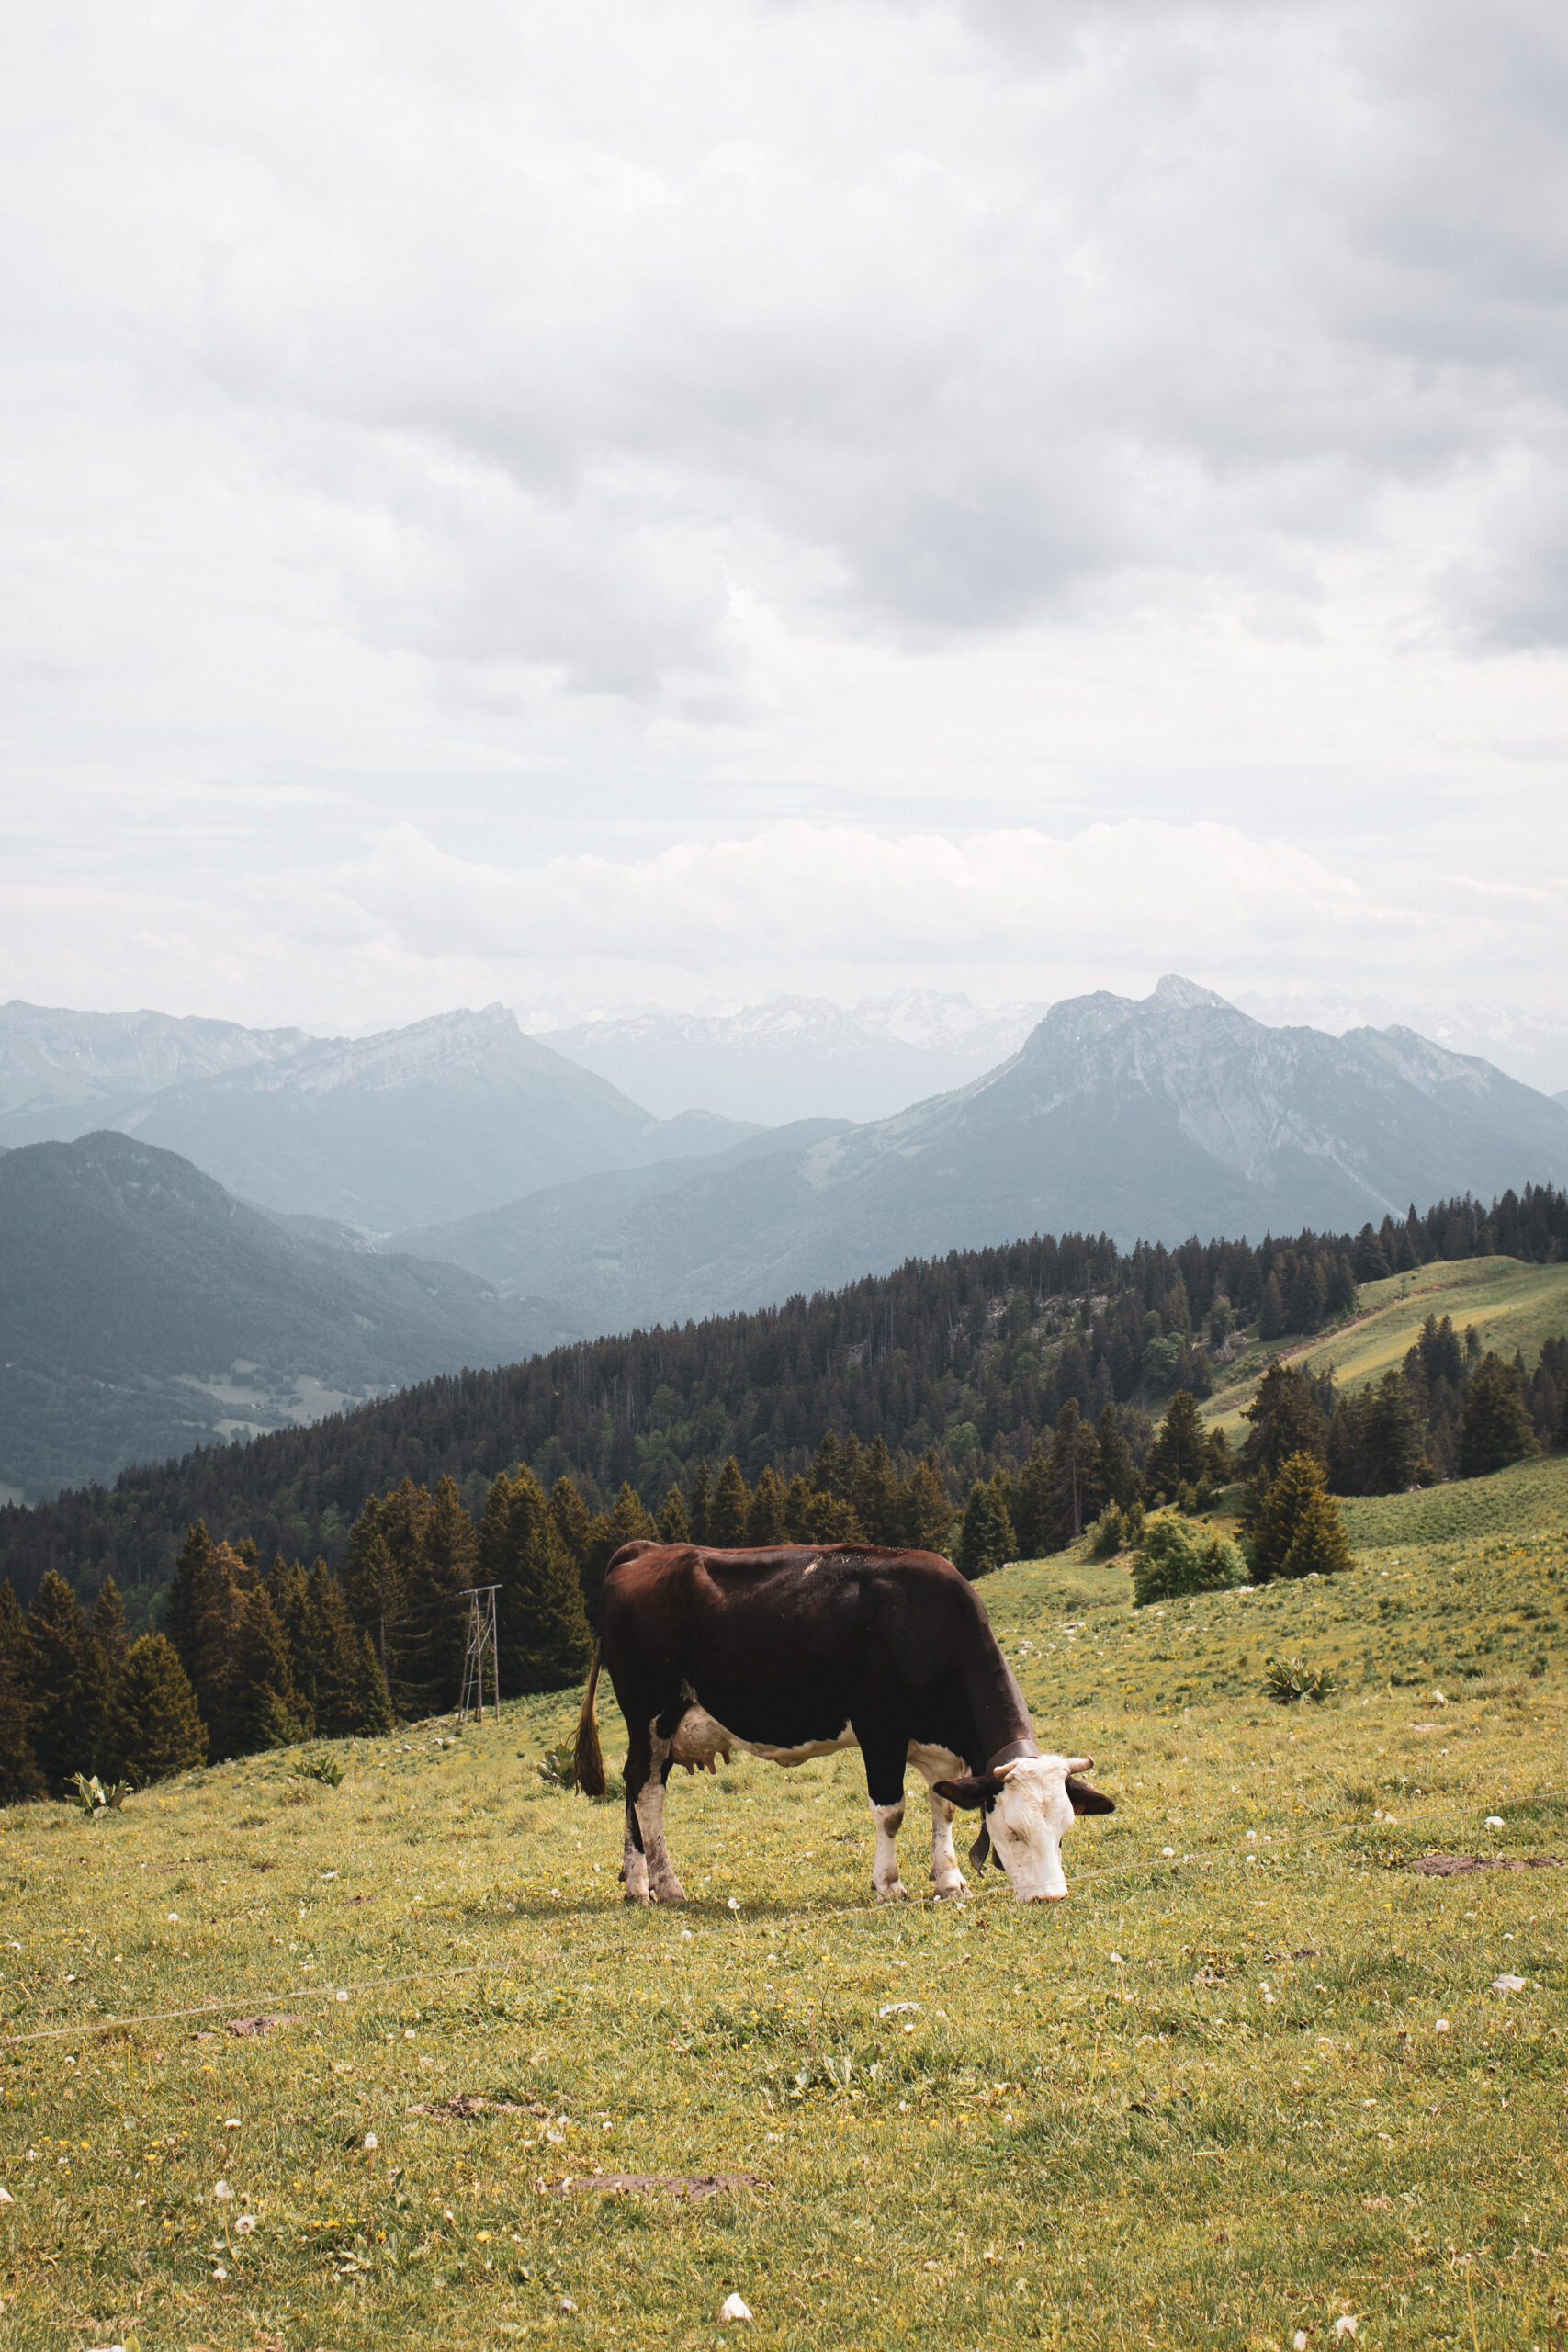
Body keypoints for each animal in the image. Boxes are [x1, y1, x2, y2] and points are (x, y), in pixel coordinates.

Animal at [572, 1539, 1114, 1905]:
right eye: (1015, 1831)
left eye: (1064, 1830)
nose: (1049, 1897)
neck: (926, 1626)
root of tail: (649, 1549)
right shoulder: (880, 1733)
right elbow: (891, 1812)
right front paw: (889, 1884)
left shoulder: (941, 1751)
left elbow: (943, 1808)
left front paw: (949, 1879)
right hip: (650, 1711)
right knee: (647, 1792)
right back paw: (662, 1885)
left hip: (667, 1724)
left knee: (634, 1785)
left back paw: (634, 1879)